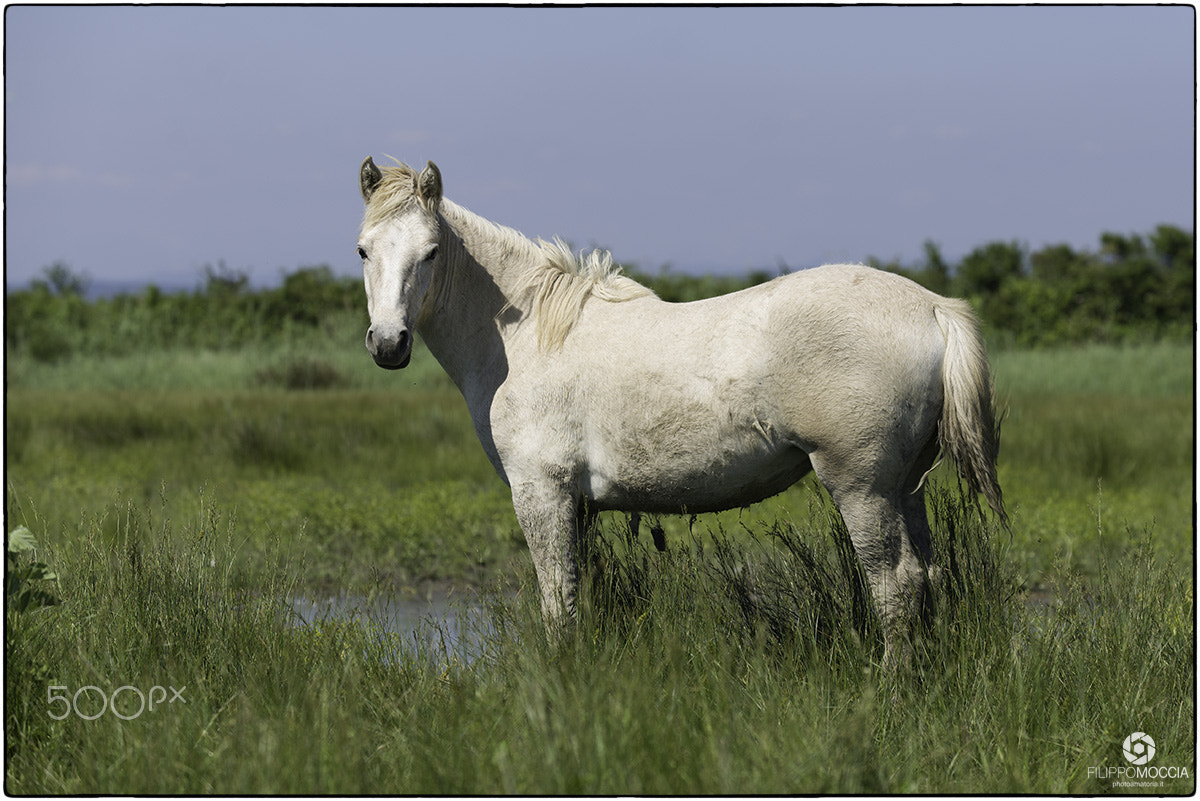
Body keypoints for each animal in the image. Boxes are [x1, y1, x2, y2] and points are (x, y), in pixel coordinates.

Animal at [355, 156, 1006, 662]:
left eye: (431, 252)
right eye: (362, 251)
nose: (388, 344)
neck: (527, 337)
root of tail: (932, 307)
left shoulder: (541, 493)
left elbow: (558, 603)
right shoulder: (578, 506)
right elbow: (579, 596)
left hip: (861, 486)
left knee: (895, 584)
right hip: (905, 485)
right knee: (927, 576)